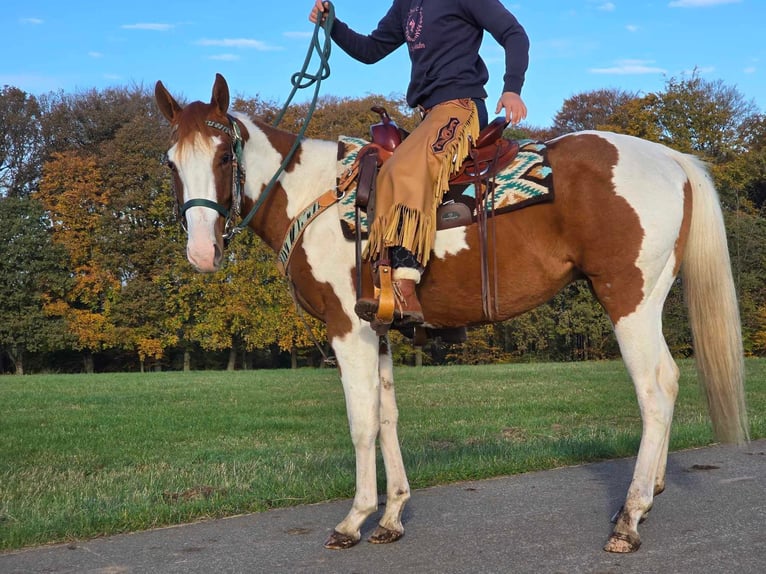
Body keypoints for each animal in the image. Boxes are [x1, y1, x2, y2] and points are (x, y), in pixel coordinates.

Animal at [156, 74, 752, 556]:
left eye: (224, 156)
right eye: (171, 162)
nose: (202, 252)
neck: (316, 195)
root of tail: (670, 158)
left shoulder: (347, 327)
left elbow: (361, 421)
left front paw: (353, 521)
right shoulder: (379, 327)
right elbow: (388, 417)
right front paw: (392, 516)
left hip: (627, 297)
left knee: (655, 388)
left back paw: (629, 519)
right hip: (648, 299)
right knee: (669, 382)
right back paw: (648, 496)